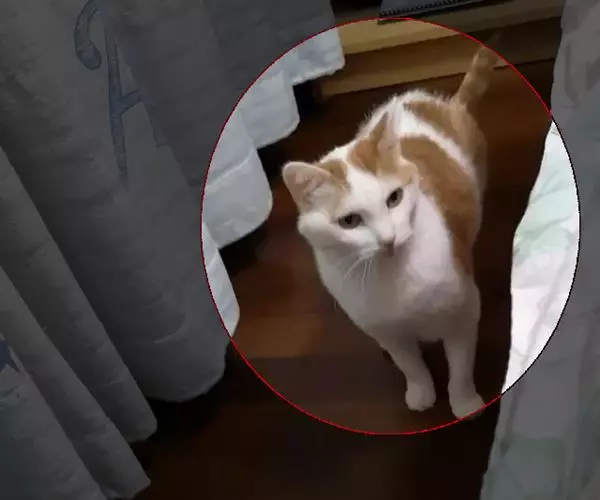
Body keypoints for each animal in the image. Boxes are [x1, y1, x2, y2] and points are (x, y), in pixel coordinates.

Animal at [282, 41, 500, 420]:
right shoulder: (386, 330)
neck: (394, 276)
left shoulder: (463, 312)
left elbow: (459, 366)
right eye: (350, 221)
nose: (388, 239)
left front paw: (464, 402)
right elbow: (409, 363)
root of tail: (441, 103)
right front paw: (421, 392)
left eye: (394, 198)